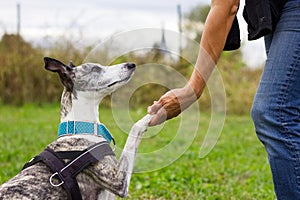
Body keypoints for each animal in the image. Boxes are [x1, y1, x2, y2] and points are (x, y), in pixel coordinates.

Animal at [0, 57, 154, 199]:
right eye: (95, 69)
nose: (131, 64)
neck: (80, 128)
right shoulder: (118, 180)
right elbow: (135, 128)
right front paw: (154, 113)